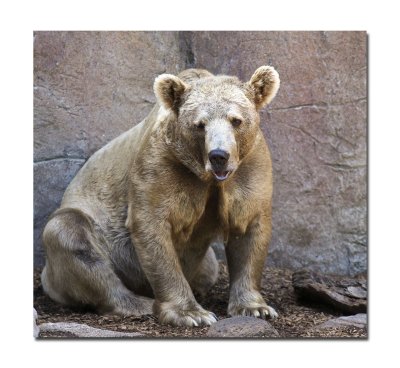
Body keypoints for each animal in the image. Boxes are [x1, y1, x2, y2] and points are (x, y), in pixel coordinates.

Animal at [39, 64, 280, 326]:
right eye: (199, 124)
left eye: (236, 120)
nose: (219, 155)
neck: (208, 177)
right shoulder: (162, 166)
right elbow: (152, 228)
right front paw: (192, 314)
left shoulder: (250, 167)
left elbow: (248, 227)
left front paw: (256, 308)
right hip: (96, 238)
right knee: (72, 236)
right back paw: (140, 303)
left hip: (204, 262)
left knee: (209, 268)